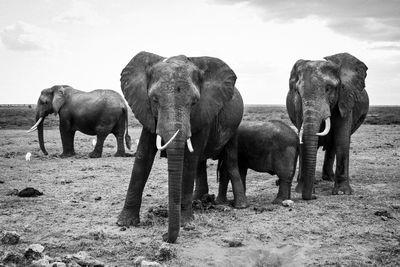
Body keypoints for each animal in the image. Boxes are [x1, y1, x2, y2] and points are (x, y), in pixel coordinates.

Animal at [115, 51, 247, 244]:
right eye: (154, 100)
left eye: (194, 102)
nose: (164, 236)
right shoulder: (147, 112)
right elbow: (142, 158)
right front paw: (124, 223)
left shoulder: (204, 111)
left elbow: (189, 161)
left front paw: (186, 223)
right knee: (200, 163)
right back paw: (199, 199)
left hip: (234, 126)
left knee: (229, 160)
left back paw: (239, 205)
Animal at [284, 52, 368, 201]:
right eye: (298, 92)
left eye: (328, 89)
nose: (313, 196)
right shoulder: (297, 107)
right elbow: (303, 139)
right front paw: (300, 190)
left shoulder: (345, 98)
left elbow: (342, 139)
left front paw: (342, 193)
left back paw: (329, 178)